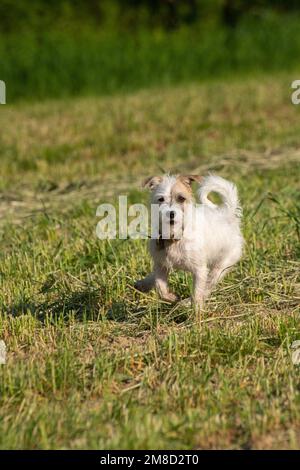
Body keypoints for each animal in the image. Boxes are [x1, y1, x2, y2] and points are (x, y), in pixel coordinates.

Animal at [135, 173, 243, 308]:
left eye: (181, 198)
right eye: (161, 199)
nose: (170, 213)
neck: (174, 238)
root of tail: (227, 214)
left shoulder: (200, 270)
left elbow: (197, 294)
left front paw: (197, 311)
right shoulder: (161, 265)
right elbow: (161, 288)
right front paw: (171, 297)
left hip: (221, 266)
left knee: (208, 286)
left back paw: (186, 302)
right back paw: (143, 284)